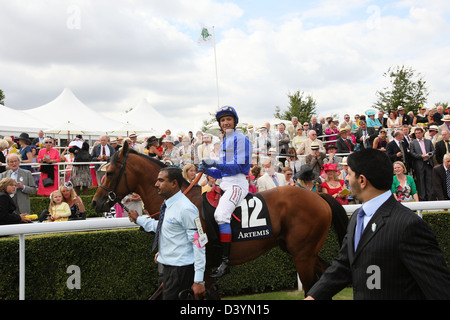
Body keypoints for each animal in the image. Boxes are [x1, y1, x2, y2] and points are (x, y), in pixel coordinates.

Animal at [91, 142, 348, 298]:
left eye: (110, 172)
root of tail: (318, 196)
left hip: (302, 254)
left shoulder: (201, 268)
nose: (95, 202)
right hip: (302, 251)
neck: (182, 197)